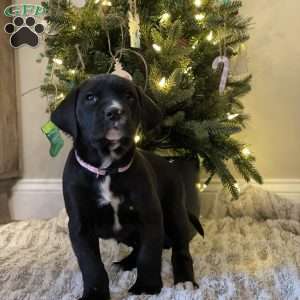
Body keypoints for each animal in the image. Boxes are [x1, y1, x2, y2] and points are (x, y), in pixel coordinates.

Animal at [51, 74, 204, 300]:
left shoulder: (150, 216)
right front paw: (95, 294)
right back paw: (126, 263)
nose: (115, 111)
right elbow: (91, 265)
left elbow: (149, 254)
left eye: (129, 97)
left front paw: (146, 287)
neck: (107, 169)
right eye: (90, 98)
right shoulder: (80, 226)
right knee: (138, 246)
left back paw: (184, 280)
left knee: (180, 249)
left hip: (174, 212)